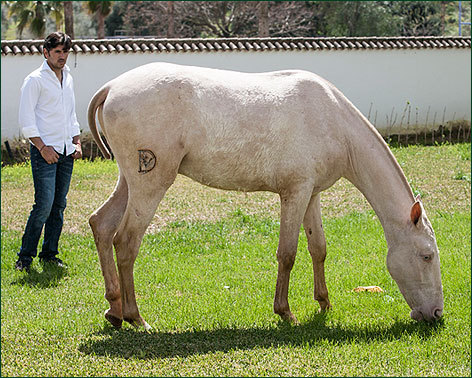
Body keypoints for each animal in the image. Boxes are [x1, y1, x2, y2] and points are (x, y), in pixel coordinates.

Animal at [87, 61, 442, 328]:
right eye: (427, 256)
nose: (437, 314)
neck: (331, 119)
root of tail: (112, 87)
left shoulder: (311, 194)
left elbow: (318, 249)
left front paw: (324, 303)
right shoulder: (294, 193)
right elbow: (288, 254)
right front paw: (285, 312)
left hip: (129, 182)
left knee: (101, 225)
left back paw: (114, 311)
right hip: (151, 185)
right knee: (126, 242)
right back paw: (135, 318)